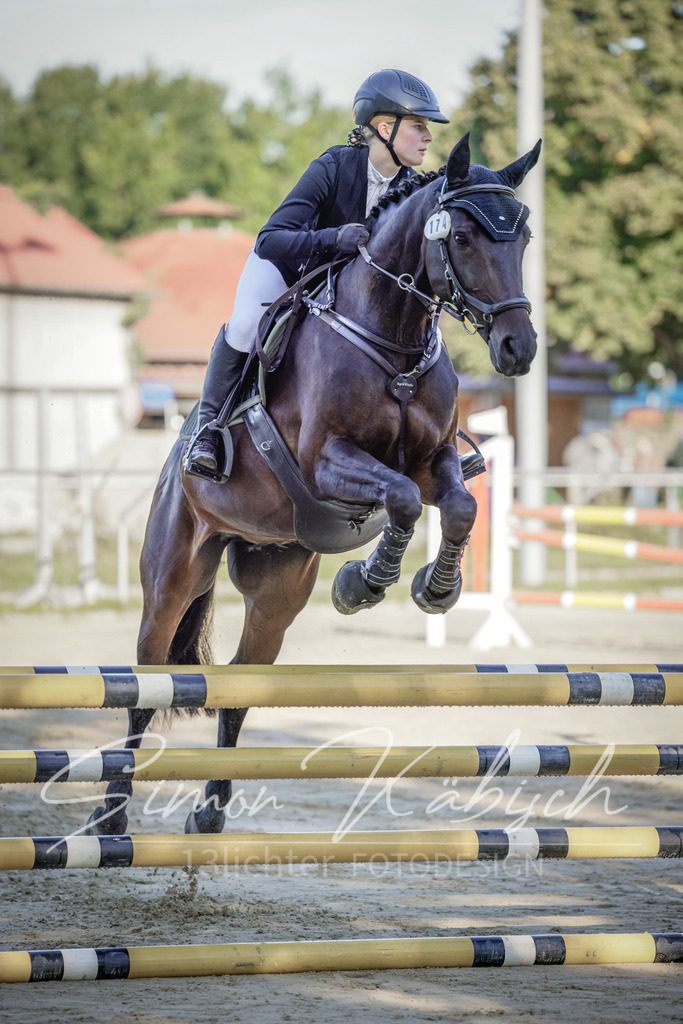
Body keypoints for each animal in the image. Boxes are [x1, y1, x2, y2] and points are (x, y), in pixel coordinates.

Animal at [87, 133, 541, 837]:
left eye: (521, 238)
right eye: (463, 238)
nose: (519, 348)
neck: (393, 339)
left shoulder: (433, 461)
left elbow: (459, 507)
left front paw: (435, 588)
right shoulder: (328, 463)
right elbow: (401, 502)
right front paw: (366, 583)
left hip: (278, 586)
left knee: (239, 687)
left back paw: (210, 812)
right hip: (172, 571)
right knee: (146, 682)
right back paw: (111, 817)